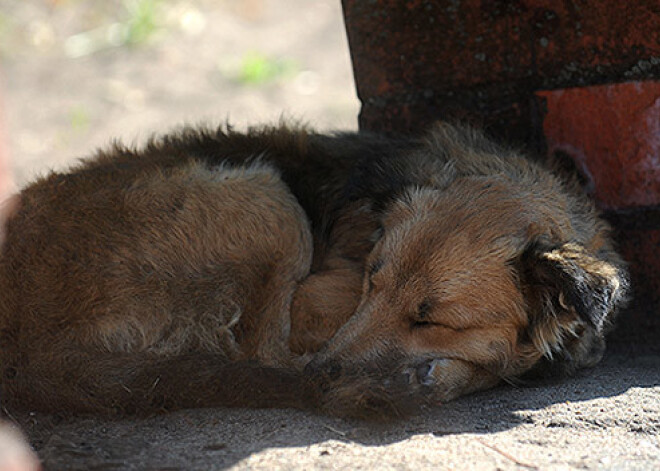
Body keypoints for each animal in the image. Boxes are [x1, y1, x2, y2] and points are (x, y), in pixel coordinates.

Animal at [0, 123, 628, 418]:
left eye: (429, 320)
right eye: (371, 281)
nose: (326, 373)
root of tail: (28, 356)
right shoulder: (314, 303)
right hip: (266, 199)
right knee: (264, 353)